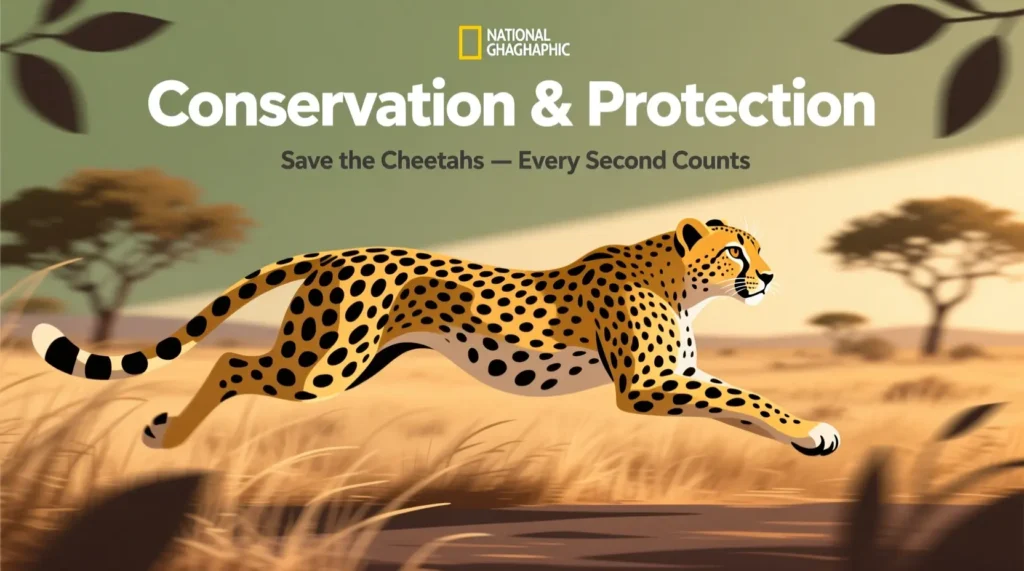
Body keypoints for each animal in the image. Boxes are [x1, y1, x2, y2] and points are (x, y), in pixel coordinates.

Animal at [32, 217, 840, 456]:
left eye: (758, 250)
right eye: (737, 251)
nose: (770, 277)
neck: (677, 277)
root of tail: (339, 251)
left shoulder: (668, 381)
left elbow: (738, 404)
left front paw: (804, 438)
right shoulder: (647, 385)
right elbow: (748, 396)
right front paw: (813, 428)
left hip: (351, 361)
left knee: (237, 360)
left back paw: (166, 429)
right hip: (323, 363)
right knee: (232, 361)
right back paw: (169, 435)